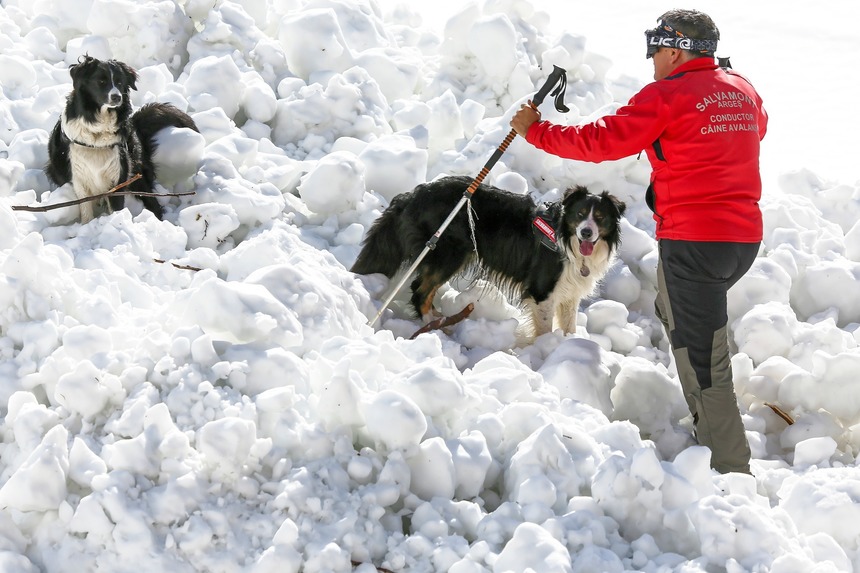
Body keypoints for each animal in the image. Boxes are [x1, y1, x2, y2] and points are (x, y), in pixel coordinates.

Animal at [46, 54, 198, 222]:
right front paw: (87, 224)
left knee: (152, 201)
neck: (97, 133)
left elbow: (116, 206)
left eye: (120, 82)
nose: (116, 97)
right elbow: (86, 210)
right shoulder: (79, 175)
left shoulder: (118, 173)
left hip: (137, 173)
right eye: (101, 81)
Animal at [350, 174, 624, 336]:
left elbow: (569, 325)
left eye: (600, 217)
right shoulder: (542, 289)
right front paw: (545, 351)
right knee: (419, 291)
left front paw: (566, 345)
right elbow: (545, 327)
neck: (566, 239)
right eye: (580, 214)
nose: (586, 232)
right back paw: (436, 328)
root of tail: (412, 196)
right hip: (450, 252)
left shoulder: (570, 291)